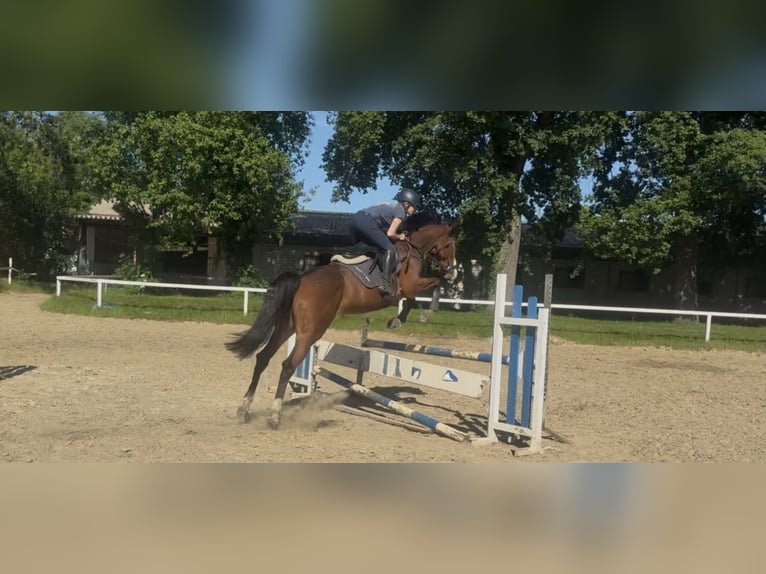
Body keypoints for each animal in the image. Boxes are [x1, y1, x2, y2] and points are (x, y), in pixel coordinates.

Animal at [225, 220, 459, 428]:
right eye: (451, 245)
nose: (453, 271)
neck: (412, 250)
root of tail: (301, 280)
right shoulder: (410, 286)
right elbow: (432, 285)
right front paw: (417, 315)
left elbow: (426, 290)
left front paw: (403, 318)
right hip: (311, 332)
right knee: (288, 365)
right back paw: (274, 416)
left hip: (286, 327)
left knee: (263, 358)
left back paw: (244, 410)